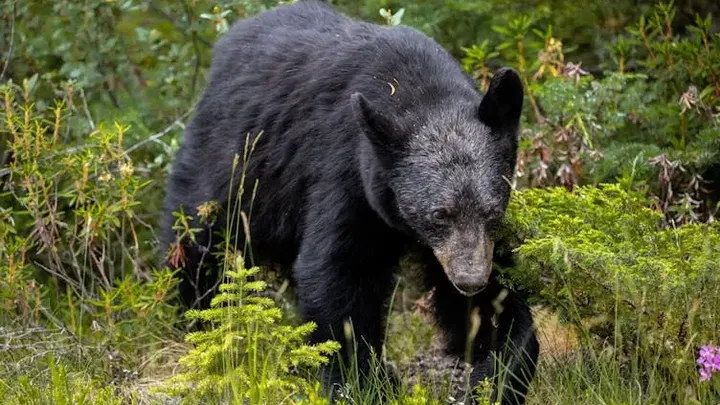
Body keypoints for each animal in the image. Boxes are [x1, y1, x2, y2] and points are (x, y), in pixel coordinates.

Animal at [161, 1, 539, 404]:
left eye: (492, 211)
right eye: (439, 214)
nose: (470, 280)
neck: (418, 90)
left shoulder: (465, 243)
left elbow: (490, 305)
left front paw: (497, 371)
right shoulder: (346, 173)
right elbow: (338, 271)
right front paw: (363, 381)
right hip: (233, 164)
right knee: (196, 240)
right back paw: (197, 316)